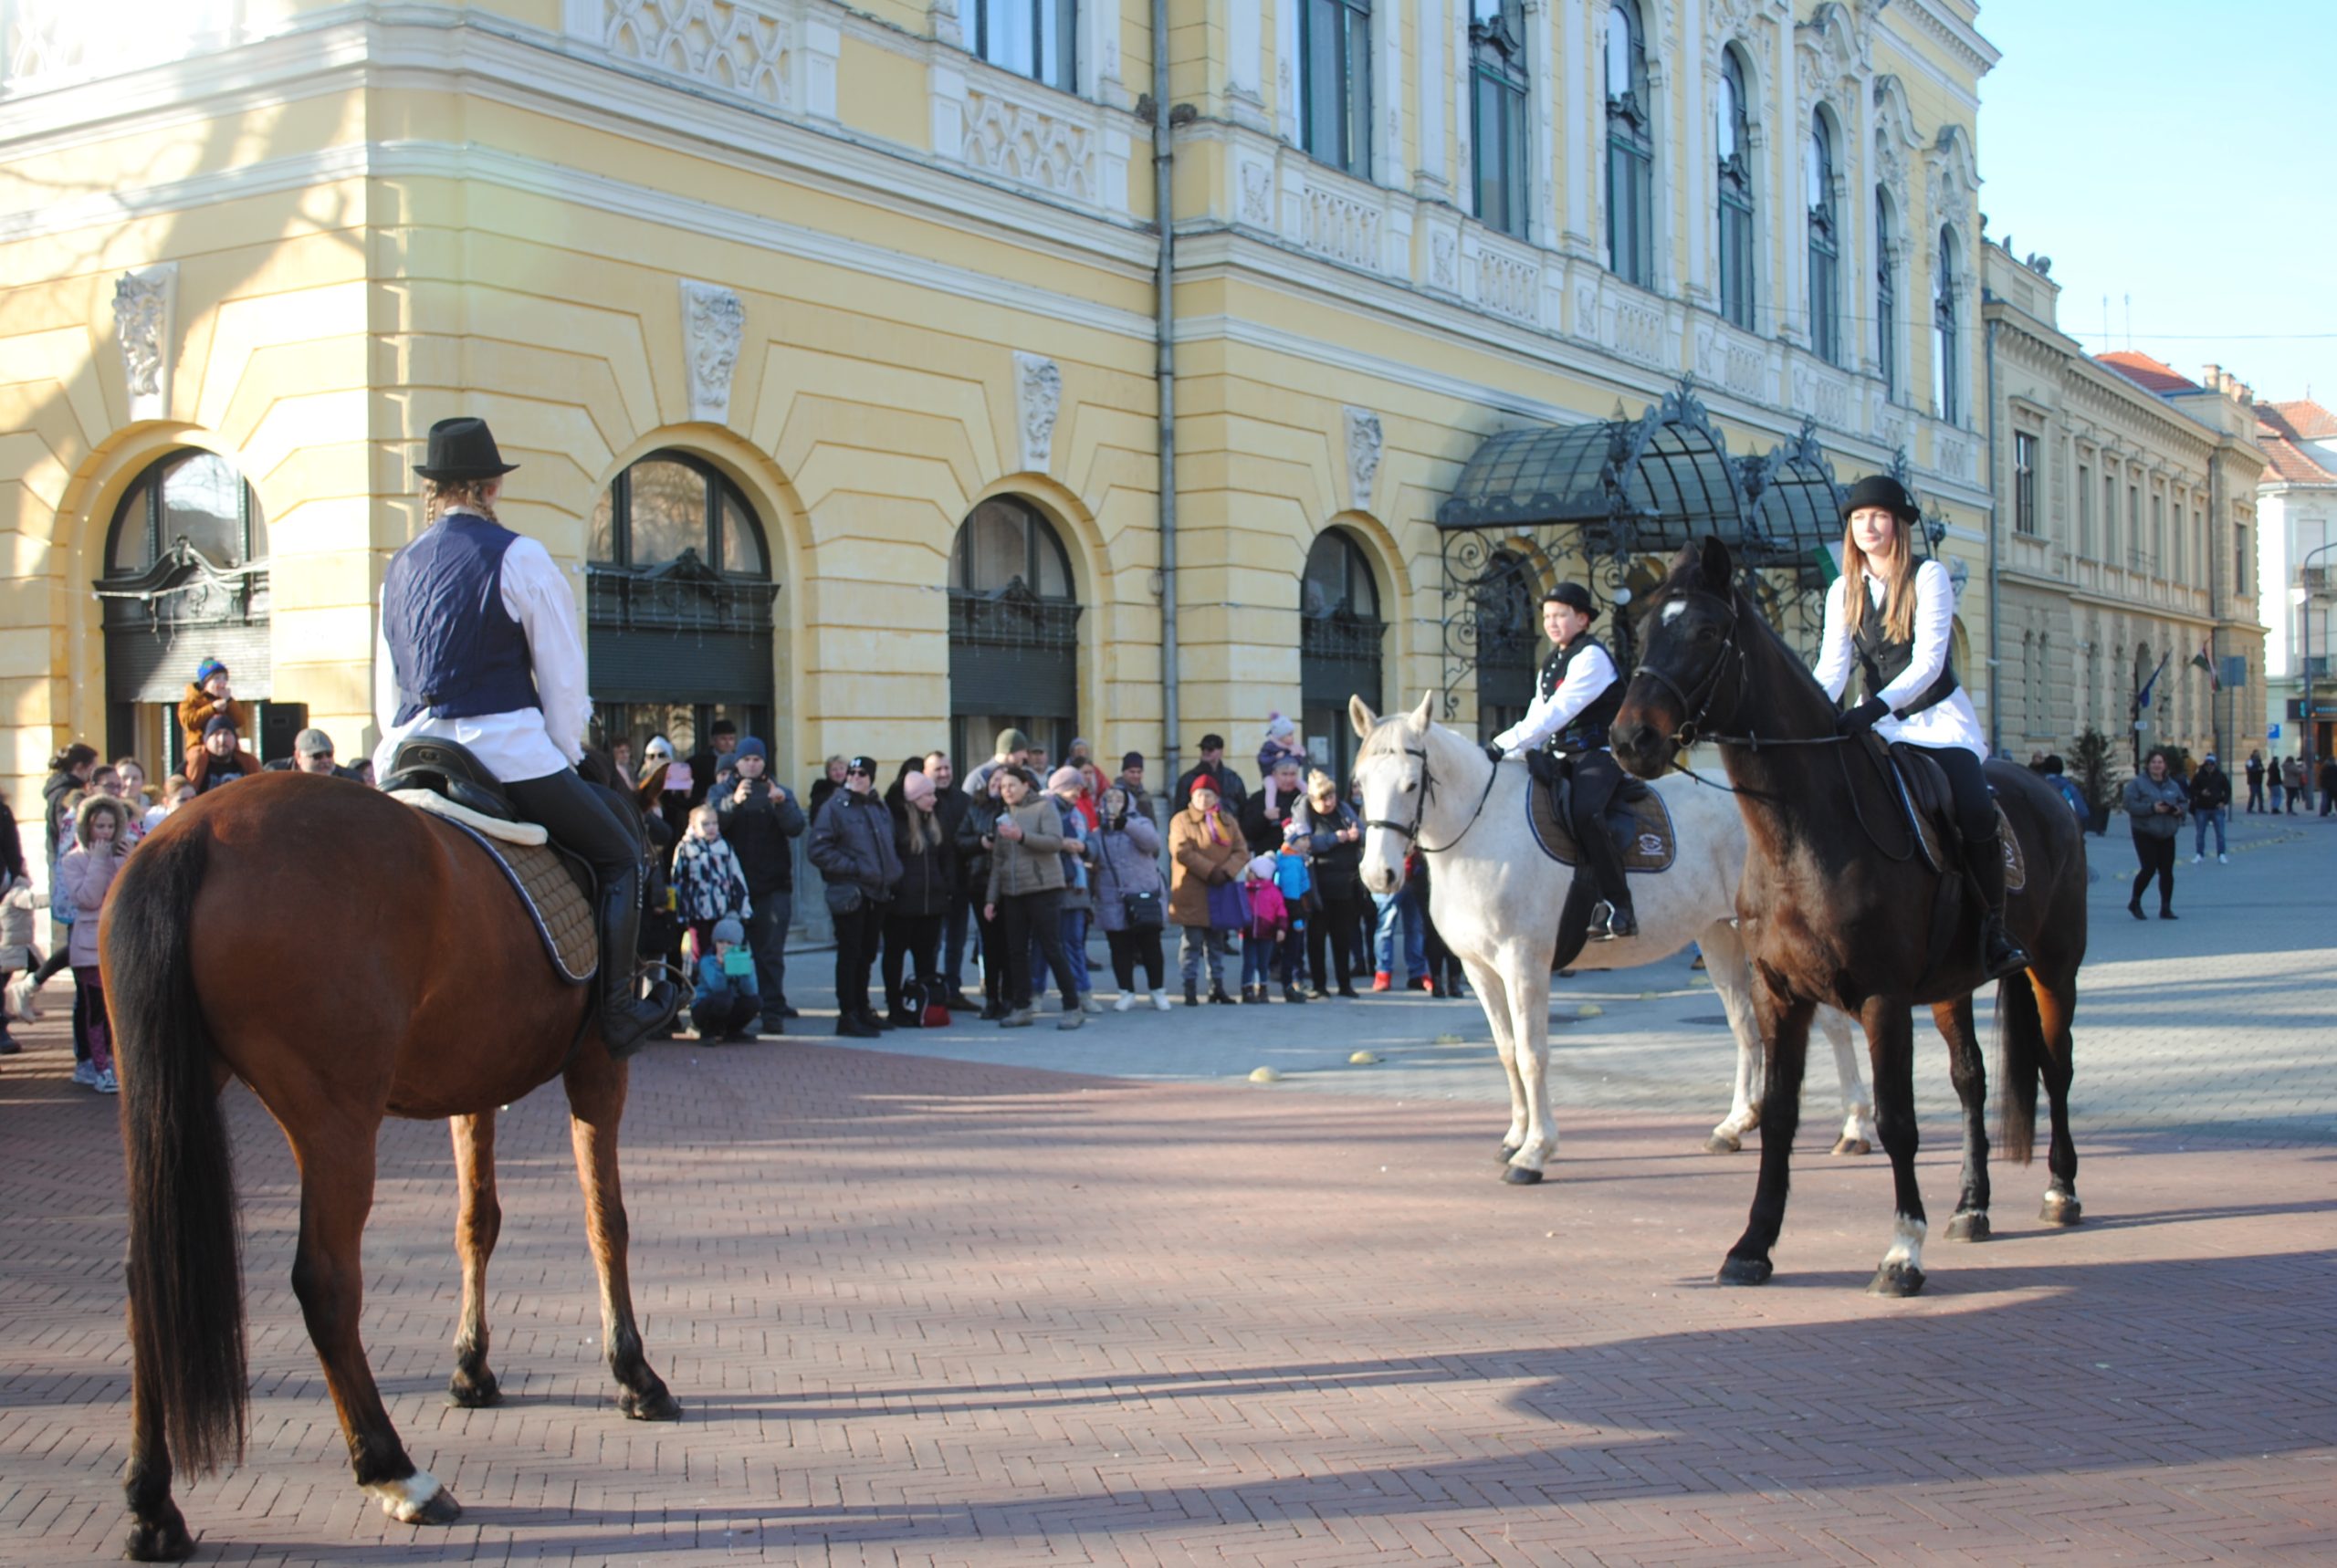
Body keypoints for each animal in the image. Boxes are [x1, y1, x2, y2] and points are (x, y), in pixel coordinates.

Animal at [109, 761, 682, 1561]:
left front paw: (472, 1367)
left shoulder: (473, 1085)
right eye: (659, 846)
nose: (669, 944)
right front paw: (634, 1374)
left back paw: (153, 1504)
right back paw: (395, 1470)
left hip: (165, 1100)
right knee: (325, 1282)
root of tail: (188, 834)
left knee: (149, 1275)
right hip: (336, 1119)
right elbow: (608, 1221)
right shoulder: (599, 1066)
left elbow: (477, 1222)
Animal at [1346, 691, 1870, 1182]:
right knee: (1745, 1026)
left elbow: (1533, 1054)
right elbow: (1508, 1052)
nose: (1378, 875)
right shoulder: (1479, 970)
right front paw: (1515, 1136)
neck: (1480, 829)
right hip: (1719, 935)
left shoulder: (1523, 963)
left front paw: (1535, 1151)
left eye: (1412, 784)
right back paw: (1735, 1125)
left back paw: (1854, 1127)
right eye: (1360, 784)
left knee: (1833, 1025)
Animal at [1617, 539, 2093, 1299]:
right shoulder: (1779, 995)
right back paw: (1972, 1205)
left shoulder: (1882, 997)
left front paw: (1902, 1252)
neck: (1804, 833)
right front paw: (1753, 1245)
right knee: (1971, 1080)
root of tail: (2049, 792)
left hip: (2054, 969)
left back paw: (2060, 1190)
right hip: (1953, 988)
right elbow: (1780, 1116)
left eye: (1706, 632)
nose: (1630, 737)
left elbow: (1898, 1119)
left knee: (2056, 1066)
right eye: (1639, 631)